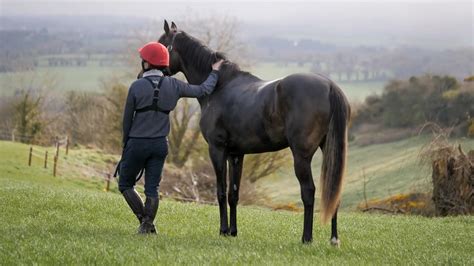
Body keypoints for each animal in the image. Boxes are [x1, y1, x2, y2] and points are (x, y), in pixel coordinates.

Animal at [156, 20, 352, 245]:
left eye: (162, 44)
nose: (145, 70)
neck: (219, 87)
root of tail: (330, 86)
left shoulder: (217, 149)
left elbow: (221, 191)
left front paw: (223, 230)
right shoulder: (235, 154)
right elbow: (233, 193)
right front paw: (233, 231)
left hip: (301, 156)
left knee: (309, 191)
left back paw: (306, 238)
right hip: (330, 150)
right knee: (333, 190)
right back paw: (334, 239)